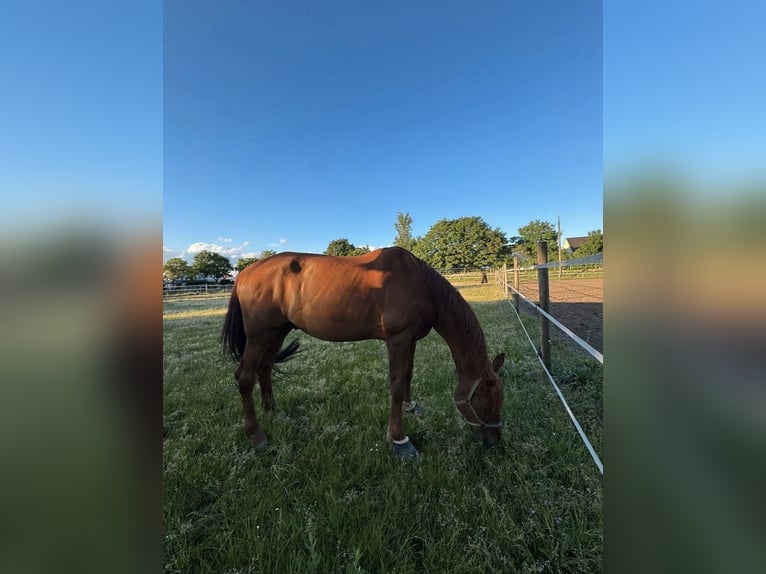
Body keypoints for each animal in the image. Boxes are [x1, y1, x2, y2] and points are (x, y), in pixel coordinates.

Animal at [221, 247, 505, 458]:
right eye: (485, 403)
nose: (494, 440)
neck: (420, 284)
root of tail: (245, 273)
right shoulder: (398, 339)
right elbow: (396, 385)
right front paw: (399, 440)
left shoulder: (411, 339)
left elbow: (408, 374)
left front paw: (411, 406)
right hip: (259, 335)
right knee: (245, 377)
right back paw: (256, 435)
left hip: (277, 331)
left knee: (264, 368)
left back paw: (273, 412)